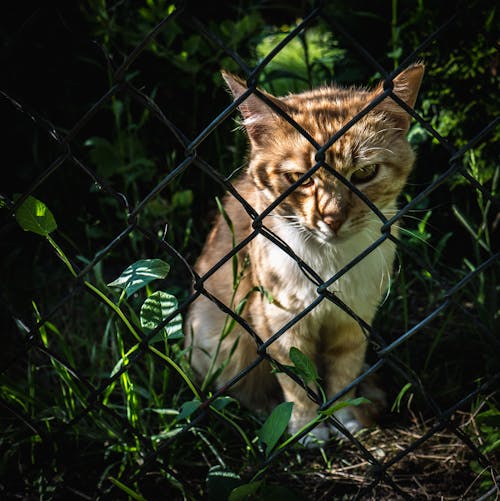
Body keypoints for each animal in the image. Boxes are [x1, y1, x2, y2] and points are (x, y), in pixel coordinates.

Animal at [186, 63, 424, 446]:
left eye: (365, 173)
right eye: (299, 178)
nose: (332, 218)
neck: (329, 265)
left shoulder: (353, 320)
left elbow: (344, 375)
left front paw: (344, 419)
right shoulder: (279, 321)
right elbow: (297, 384)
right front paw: (308, 428)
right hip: (214, 338)